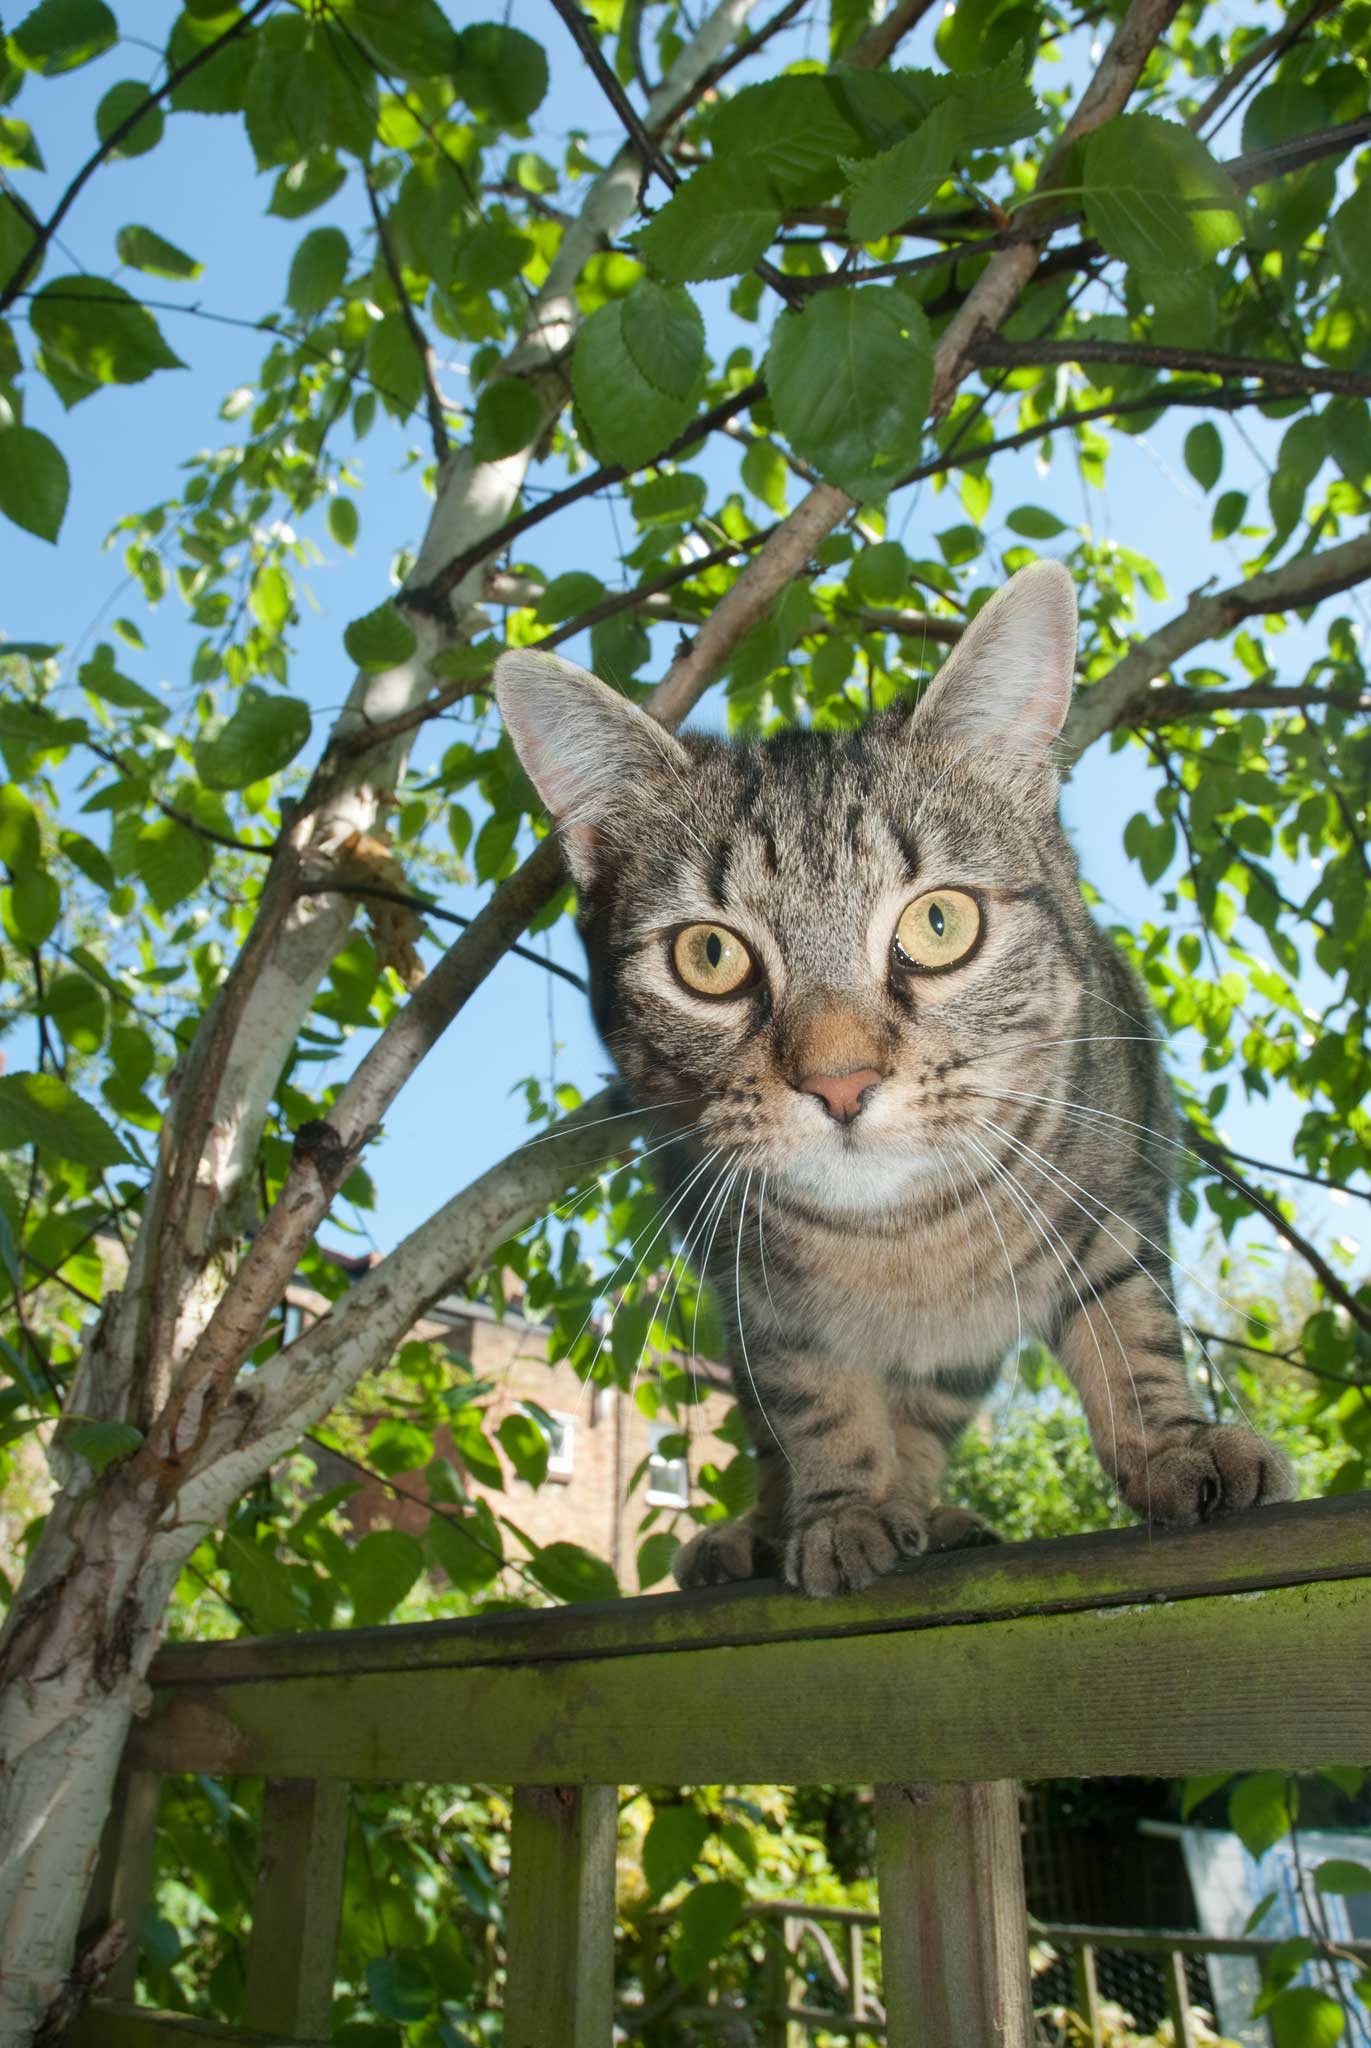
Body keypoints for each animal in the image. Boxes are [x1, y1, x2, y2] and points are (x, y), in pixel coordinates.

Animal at [493, 561, 1295, 1597]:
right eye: (708, 956)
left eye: (939, 923)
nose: (839, 1081)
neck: (899, 1240)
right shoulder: (760, 1303)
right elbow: (815, 1409)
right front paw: (845, 1509)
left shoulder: (1115, 1196)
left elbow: (1130, 1332)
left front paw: (1168, 1445)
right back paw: (767, 1529)